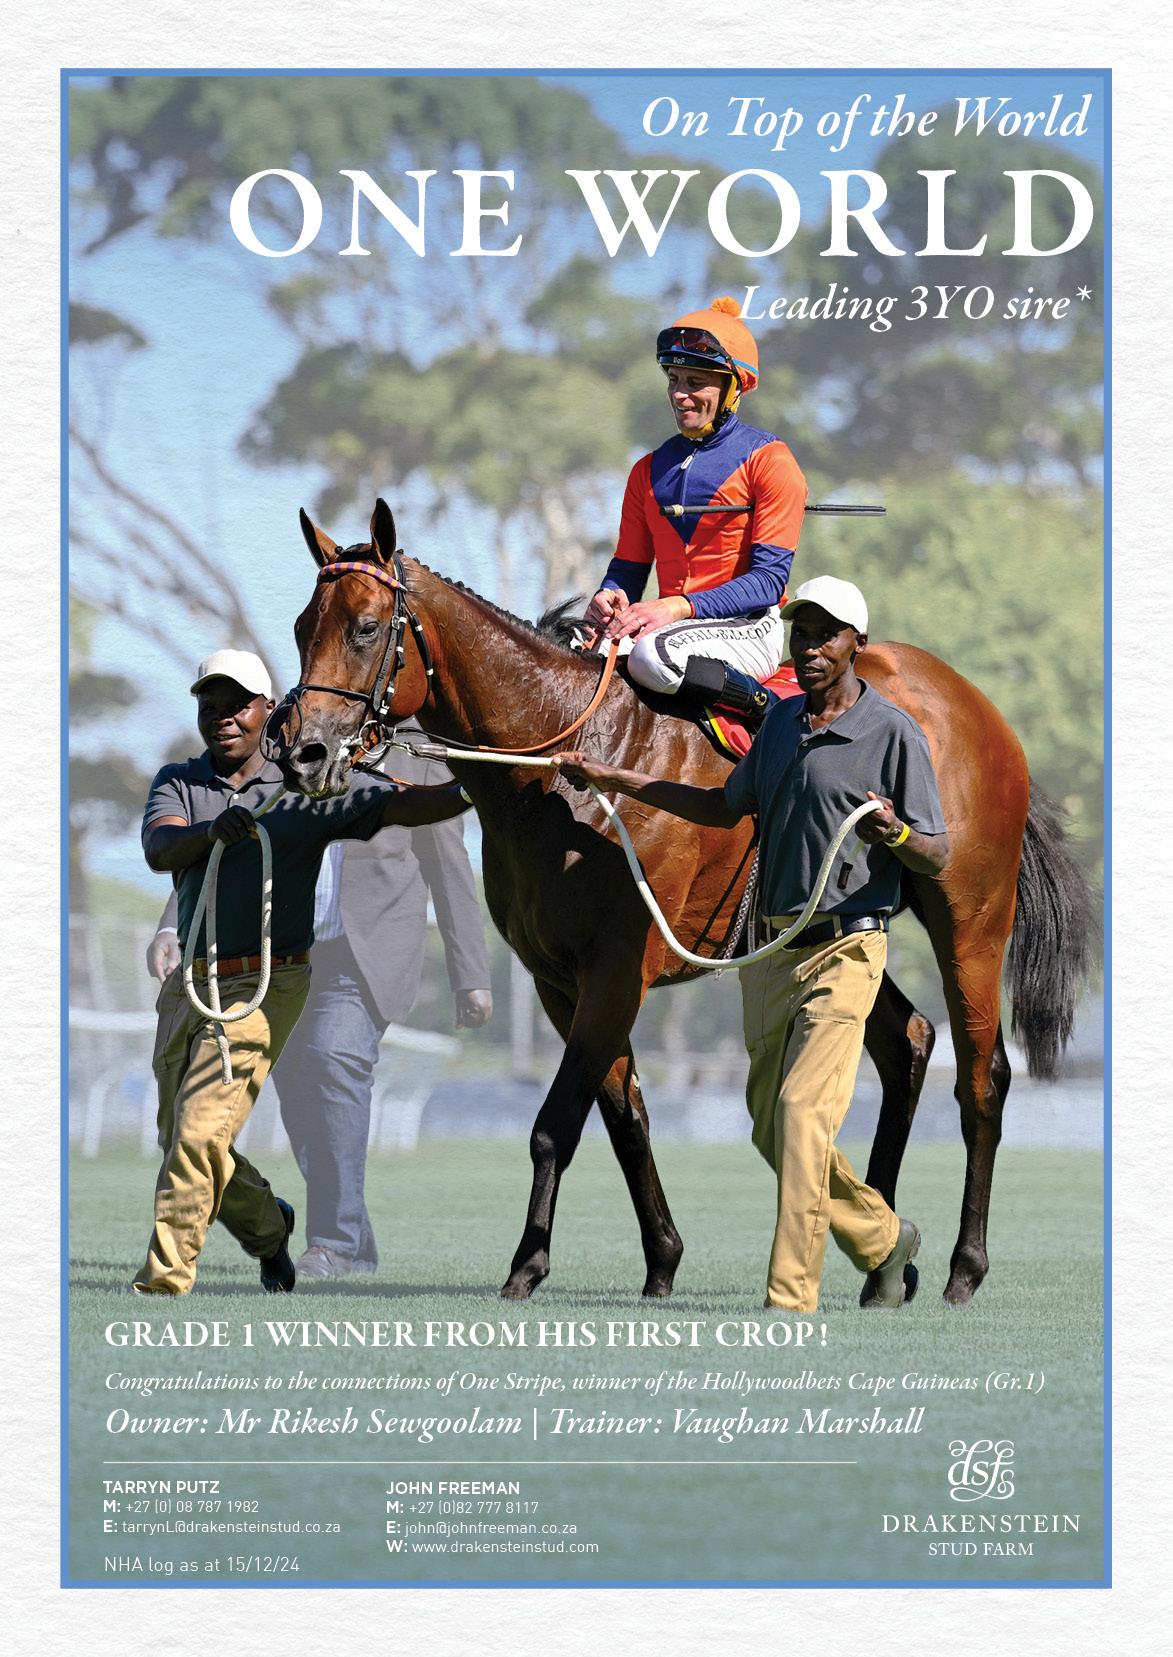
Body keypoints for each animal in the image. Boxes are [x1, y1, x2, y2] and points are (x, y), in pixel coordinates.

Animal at [275, 497, 1094, 1307]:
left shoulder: (616, 969)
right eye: (300, 626)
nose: (303, 751)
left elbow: (557, 1123)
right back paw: (884, 1254)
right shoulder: (557, 980)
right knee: (908, 1043)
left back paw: (963, 1264)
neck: (558, 765)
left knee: (983, 1076)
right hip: (843, 924)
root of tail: (973, 702)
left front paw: (527, 1264)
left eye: (366, 627)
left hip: (970, 919)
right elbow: (623, 1115)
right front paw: (661, 1259)